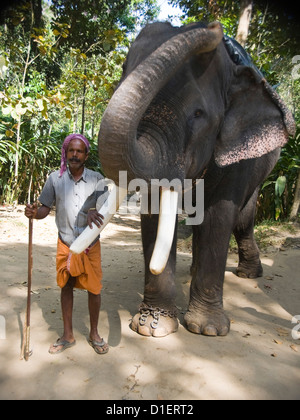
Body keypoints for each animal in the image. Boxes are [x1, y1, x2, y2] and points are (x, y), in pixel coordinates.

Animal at [70, 21, 296, 340]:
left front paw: (208, 329)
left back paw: (248, 274)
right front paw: (152, 326)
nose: (215, 27)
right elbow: (155, 215)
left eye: (199, 114)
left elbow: (219, 215)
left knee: (242, 219)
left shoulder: (236, 153)